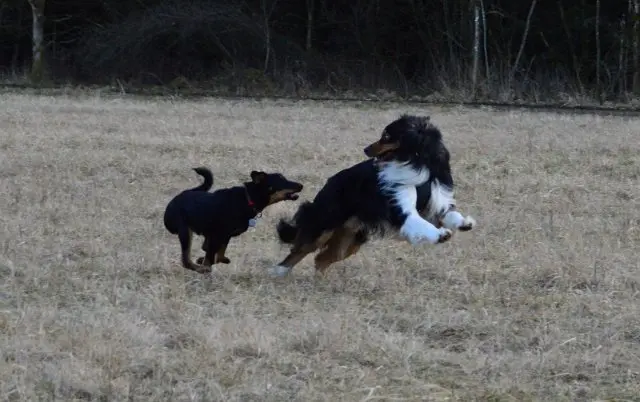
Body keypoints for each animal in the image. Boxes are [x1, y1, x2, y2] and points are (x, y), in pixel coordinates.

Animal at [165, 166, 304, 274]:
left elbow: (219, 255)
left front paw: (204, 259)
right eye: (282, 181)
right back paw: (200, 269)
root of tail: (176, 199)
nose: (301, 185)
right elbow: (210, 259)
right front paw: (205, 267)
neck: (248, 199)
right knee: (186, 260)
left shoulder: (224, 236)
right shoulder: (217, 236)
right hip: (185, 232)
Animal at [270, 113, 476, 276]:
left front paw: (465, 223)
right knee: (300, 250)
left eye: (386, 136)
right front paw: (441, 235)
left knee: (322, 259)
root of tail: (329, 183)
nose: (366, 149)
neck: (417, 163)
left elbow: (450, 214)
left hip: (352, 238)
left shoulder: (437, 199)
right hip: (325, 225)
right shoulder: (401, 208)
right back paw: (278, 271)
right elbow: (420, 223)